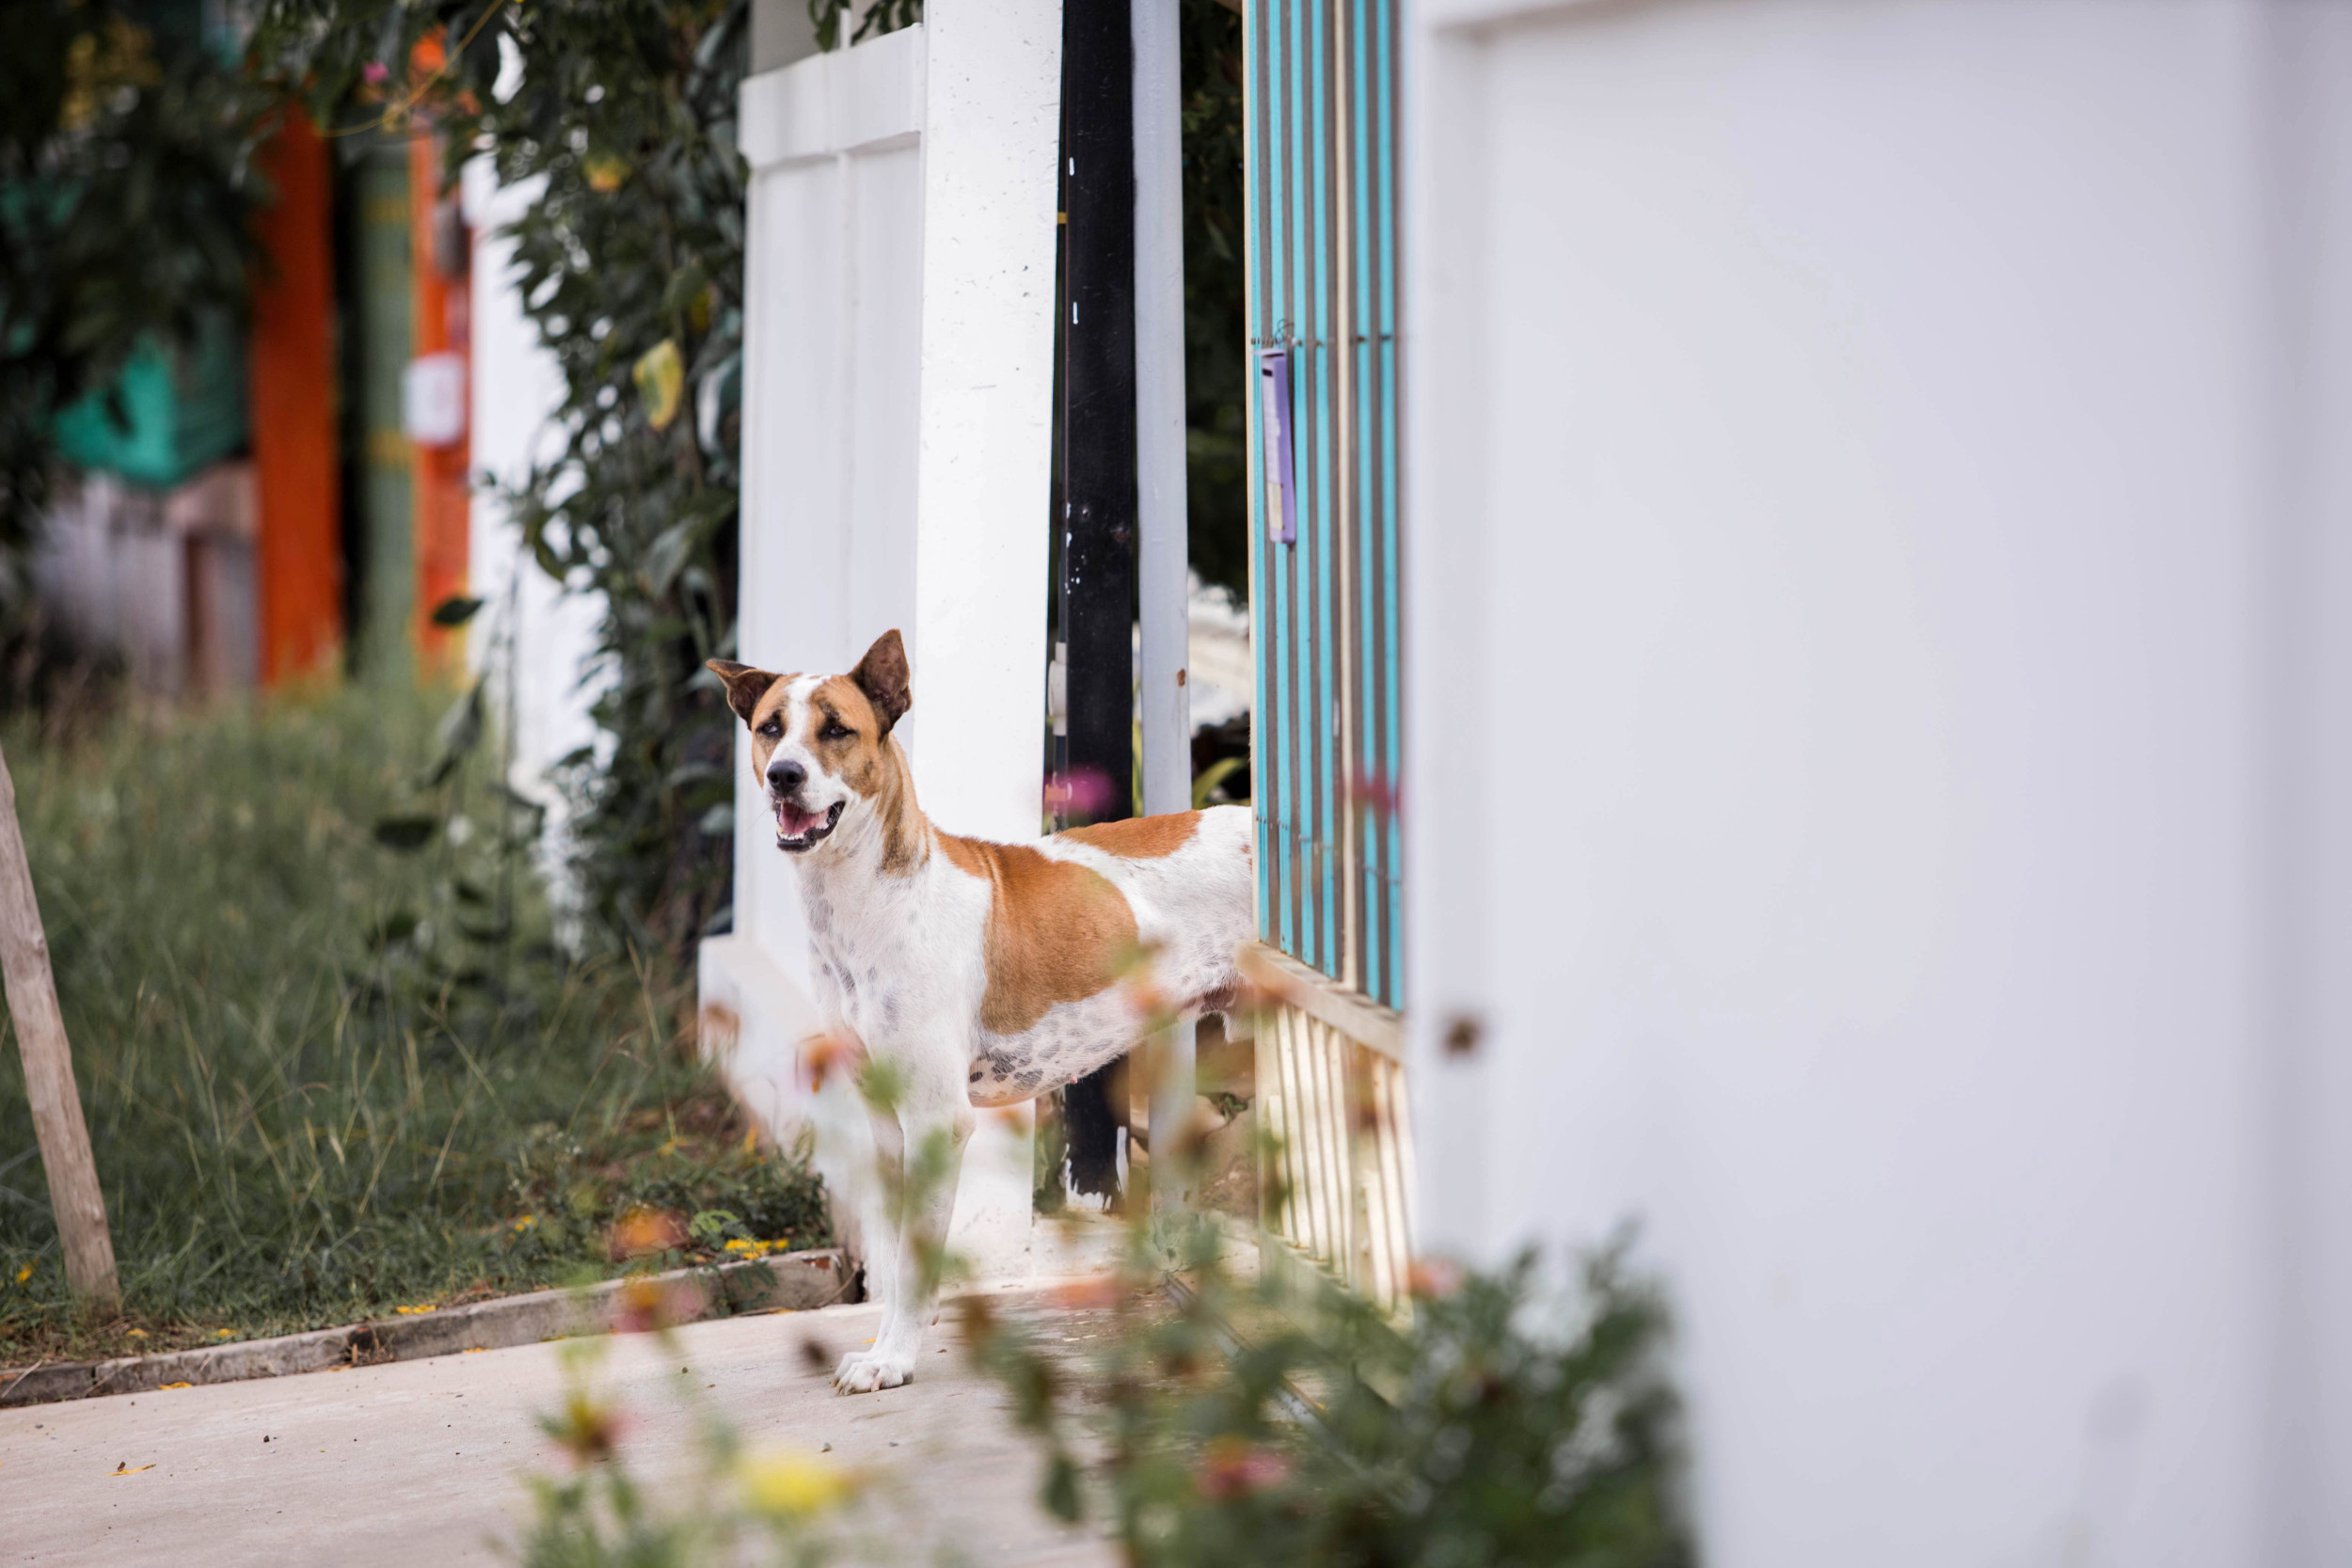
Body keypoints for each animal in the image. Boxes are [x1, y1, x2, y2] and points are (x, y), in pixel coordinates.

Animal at [706, 629, 1261, 1391]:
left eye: (837, 729)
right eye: (770, 728)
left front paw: (894, 1358)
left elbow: (914, 1264)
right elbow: (892, 1250)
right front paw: (885, 1344)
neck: (868, 905)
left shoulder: (937, 1121)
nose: (784, 775)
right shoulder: (886, 1123)